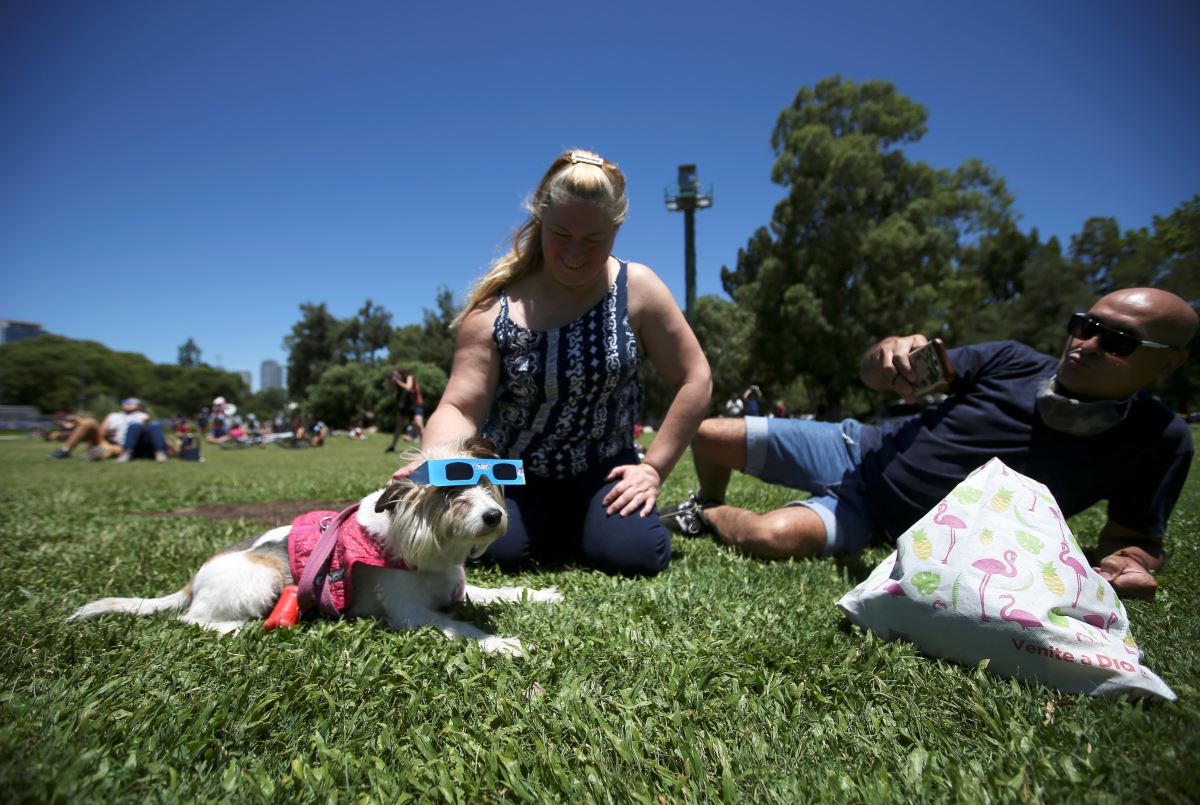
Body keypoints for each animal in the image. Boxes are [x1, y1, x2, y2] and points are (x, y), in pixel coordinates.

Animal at [69, 441, 561, 652]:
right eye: (448, 493)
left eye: (490, 483)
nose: (494, 517)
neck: (428, 547)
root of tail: (193, 581)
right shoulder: (411, 614)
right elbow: (461, 627)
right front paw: (499, 643)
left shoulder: (455, 587)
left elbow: (496, 592)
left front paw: (542, 594)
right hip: (262, 579)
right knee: (193, 621)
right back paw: (237, 628)